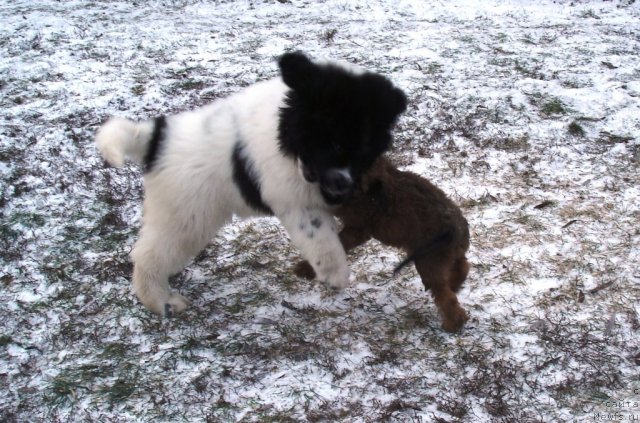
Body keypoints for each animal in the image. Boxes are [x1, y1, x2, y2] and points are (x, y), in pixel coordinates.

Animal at [95, 52, 404, 318]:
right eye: (330, 142)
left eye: (364, 151)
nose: (341, 187)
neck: (284, 134)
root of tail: (156, 139)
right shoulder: (292, 198)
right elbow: (320, 236)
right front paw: (335, 274)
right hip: (185, 216)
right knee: (149, 255)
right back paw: (161, 301)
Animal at [296, 157, 470, 332]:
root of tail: (457, 229)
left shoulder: (357, 228)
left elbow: (339, 242)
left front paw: (305, 269)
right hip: (445, 255)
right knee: (462, 266)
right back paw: (455, 285)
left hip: (429, 261)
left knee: (445, 295)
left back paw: (453, 324)